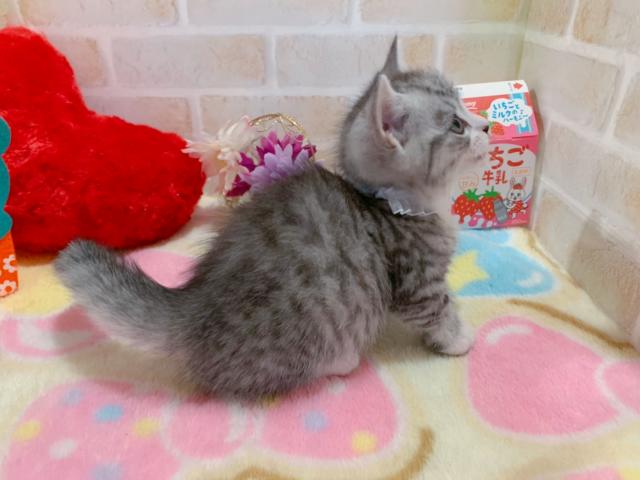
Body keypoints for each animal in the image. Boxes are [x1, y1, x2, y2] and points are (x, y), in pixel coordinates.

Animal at [55, 37, 490, 401]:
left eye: (463, 104)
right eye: (456, 125)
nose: (487, 124)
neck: (390, 201)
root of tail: (191, 309)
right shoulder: (418, 281)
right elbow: (438, 310)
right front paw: (458, 339)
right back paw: (341, 362)